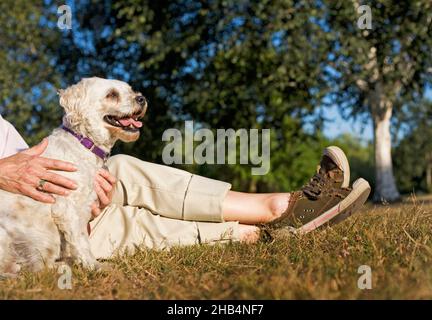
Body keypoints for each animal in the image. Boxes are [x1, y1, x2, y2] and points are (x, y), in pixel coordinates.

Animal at [0, 77, 147, 278]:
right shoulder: (68, 207)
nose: (142, 99)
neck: (84, 144)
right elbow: (81, 240)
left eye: (131, 90)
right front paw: (94, 266)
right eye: (112, 94)